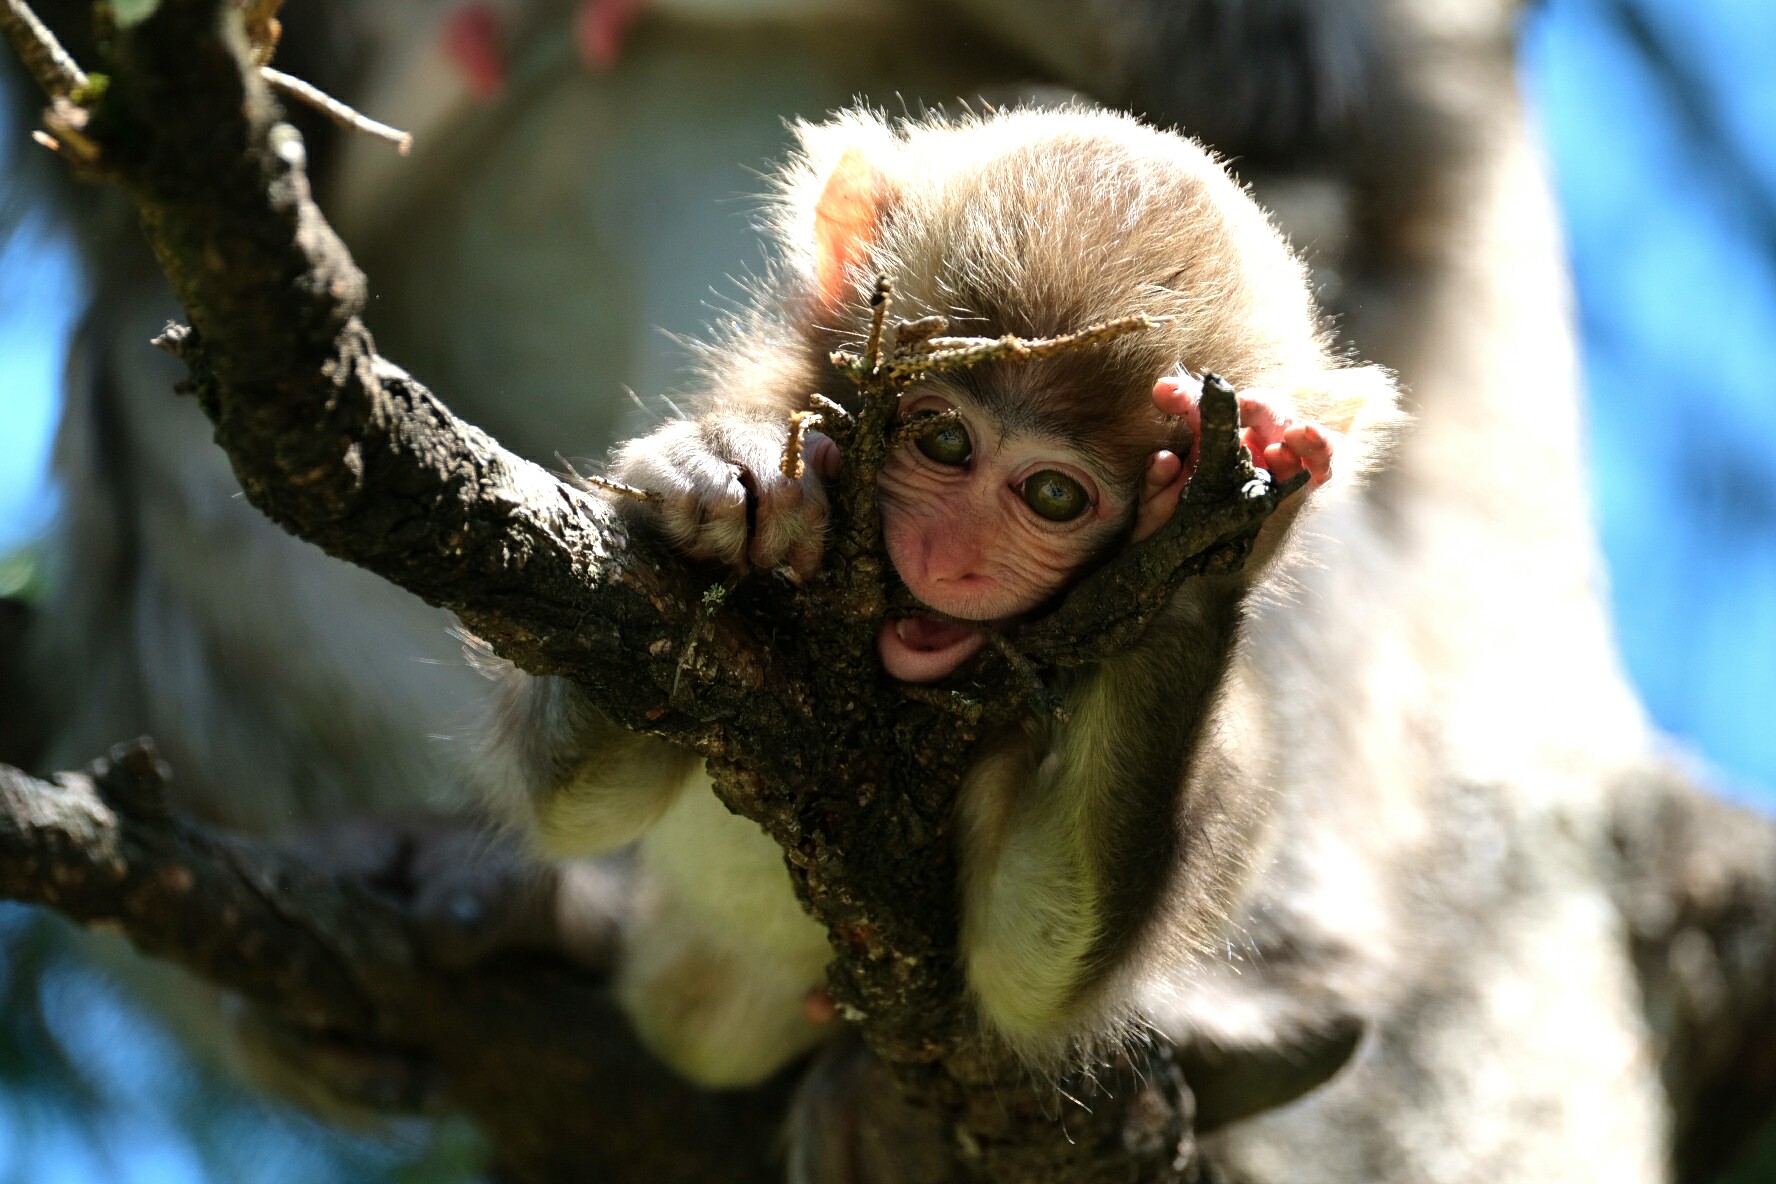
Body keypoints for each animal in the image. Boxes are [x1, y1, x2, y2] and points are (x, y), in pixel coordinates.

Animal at [479, 104, 1401, 1085]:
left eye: (1054, 495)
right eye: (944, 440)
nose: (948, 557)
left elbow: (1028, 960)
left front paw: (1215, 552)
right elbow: (578, 802)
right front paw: (726, 468)